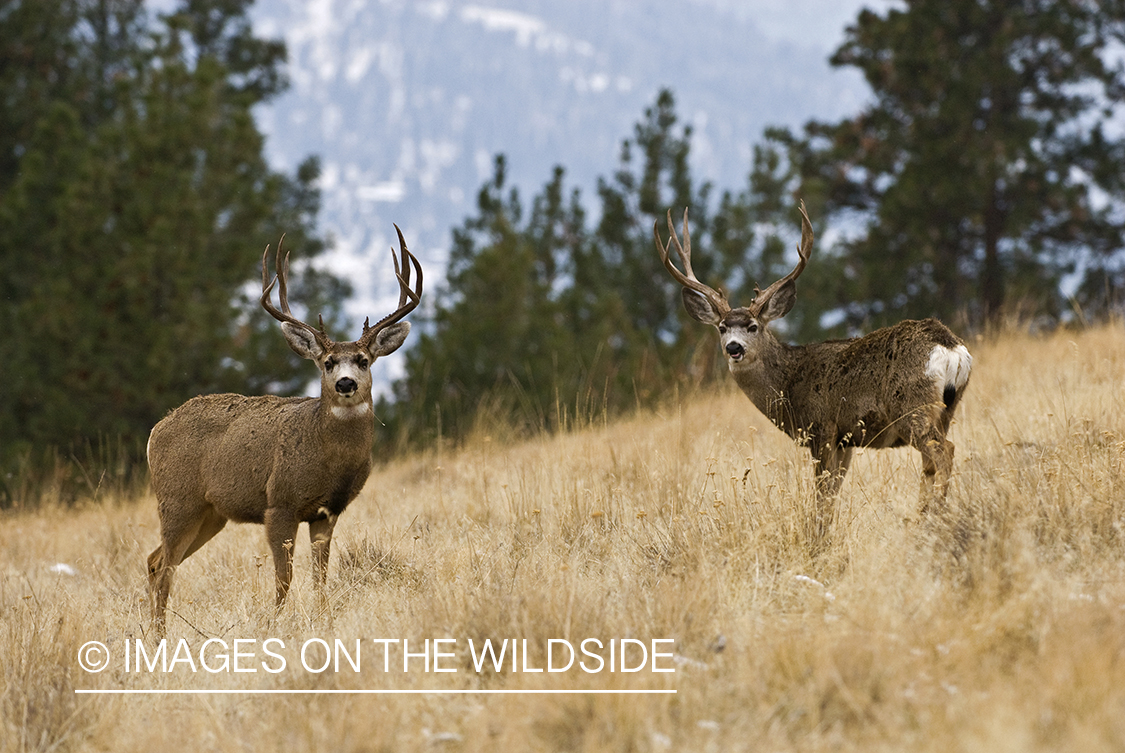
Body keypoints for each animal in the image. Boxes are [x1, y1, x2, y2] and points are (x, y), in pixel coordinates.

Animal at [146, 228, 422, 636]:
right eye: (327, 362)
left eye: (363, 360)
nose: (345, 383)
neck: (327, 456)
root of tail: (155, 430)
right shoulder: (280, 502)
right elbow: (284, 577)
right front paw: (273, 626)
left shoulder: (327, 511)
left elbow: (321, 576)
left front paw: (323, 621)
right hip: (178, 500)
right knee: (164, 567)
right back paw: (159, 636)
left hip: (210, 513)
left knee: (155, 561)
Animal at [654, 202, 972, 541]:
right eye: (722, 328)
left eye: (752, 326)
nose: (734, 348)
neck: (790, 382)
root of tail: (949, 345)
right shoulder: (846, 439)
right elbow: (833, 493)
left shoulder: (820, 428)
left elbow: (821, 493)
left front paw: (817, 536)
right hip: (946, 409)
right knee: (931, 461)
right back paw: (924, 516)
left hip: (911, 405)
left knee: (944, 451)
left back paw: (934, 517)